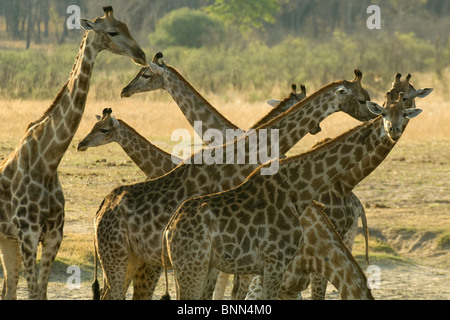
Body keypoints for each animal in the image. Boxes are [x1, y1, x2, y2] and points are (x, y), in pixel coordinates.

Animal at [0, 5, 145, 300]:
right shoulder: (28, 234)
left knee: (7, 287)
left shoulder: (54, 235)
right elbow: (33, 292)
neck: (48, 161)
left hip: (7, 239)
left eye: (127, 26)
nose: (141, 55)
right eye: (112, 31)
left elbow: (41, 292)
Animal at [162, 95, 422, 300]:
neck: (297, 191)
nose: (393, 130)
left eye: (405, 114)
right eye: (383, 113)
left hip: (200, 267)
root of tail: (169, 227)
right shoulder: (273, 265)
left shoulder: (279, 273)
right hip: (191, 267)